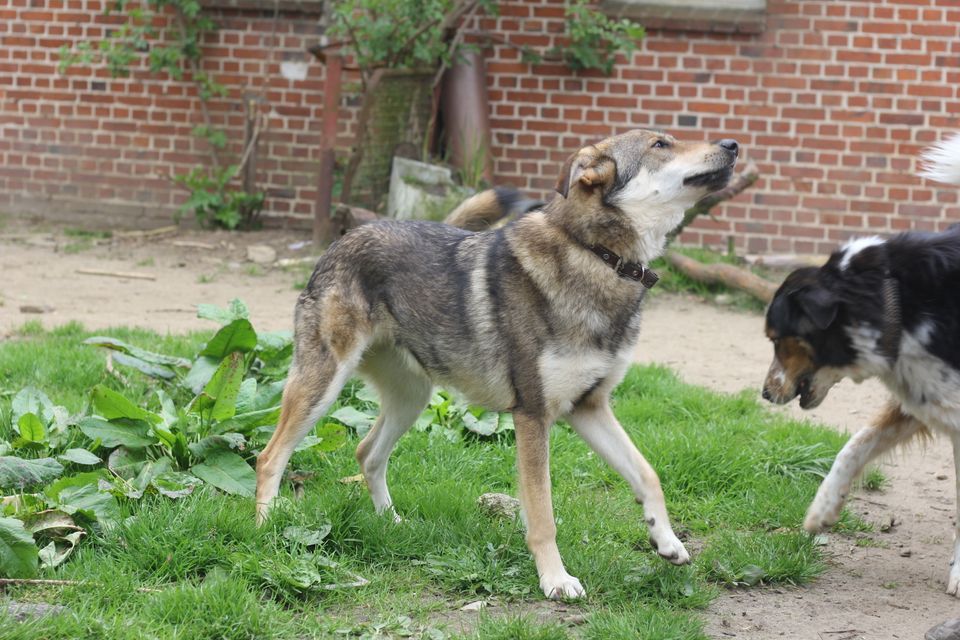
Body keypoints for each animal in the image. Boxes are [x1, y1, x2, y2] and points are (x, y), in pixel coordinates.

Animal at [253, 130, 736, 600]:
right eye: (660, 144)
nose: (732, 145)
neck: (595, 255)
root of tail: (346, 235)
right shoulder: (533, 416)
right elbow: (542, 514)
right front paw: (555, 580)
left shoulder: (590, 407)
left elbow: (648, 475)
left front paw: (667, 541)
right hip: (322, 387)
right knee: (269, 456)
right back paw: (266, 529)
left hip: (412, 399)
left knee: (366, 453)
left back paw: (391, 524)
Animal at [760, 132, 960, 596]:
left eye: (776, 339)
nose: (764, 393)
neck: (896, 299)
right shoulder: (924, 396)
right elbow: (854, 446)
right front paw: (822, 511)